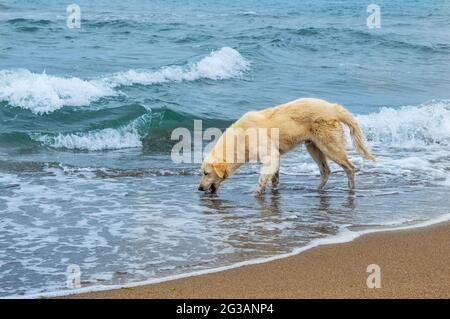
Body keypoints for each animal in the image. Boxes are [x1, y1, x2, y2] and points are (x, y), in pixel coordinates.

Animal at [199, 99, 374, 196]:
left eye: (206, 173)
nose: (199, 188)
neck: (240, 140)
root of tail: (333, 107)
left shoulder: (269, 153)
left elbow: (263, 178)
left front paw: (256, 193)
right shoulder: (275, 157)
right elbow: (274, 178)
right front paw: (273, 190)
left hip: (329, 144)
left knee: (349, 167)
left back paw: (351, 189)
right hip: (313, 146)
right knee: (326, 171)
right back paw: (318, 189)